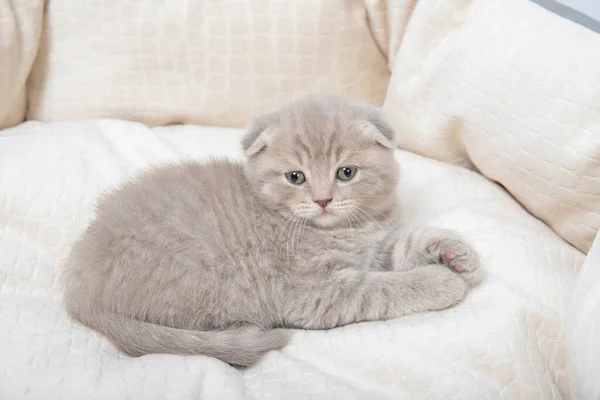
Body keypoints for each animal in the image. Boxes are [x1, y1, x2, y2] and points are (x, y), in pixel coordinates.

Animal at [62, 94, 482, 368]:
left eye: (346, 173)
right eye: (295, 177)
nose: (323, 200)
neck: (344, 228)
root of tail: (80, 287)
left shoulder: (377, 246)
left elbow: (407, 244)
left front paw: (456, 254)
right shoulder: (313, 293)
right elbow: (383, 289)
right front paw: (441, 282)